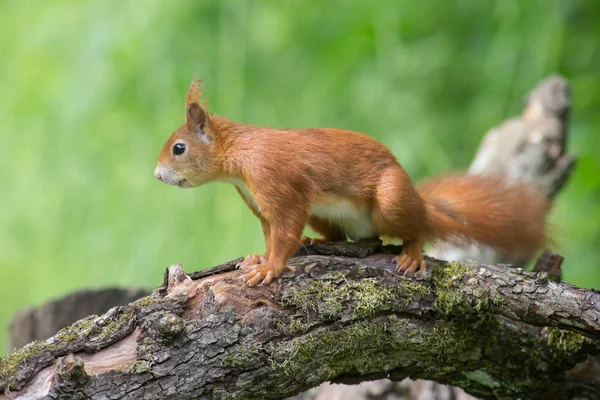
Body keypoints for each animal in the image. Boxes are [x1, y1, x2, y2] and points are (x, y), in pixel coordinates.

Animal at [154, 79, 548, 286]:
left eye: (178, 148)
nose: (157, 175)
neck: (239, 155)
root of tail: (420, 201)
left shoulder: (276, 182)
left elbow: (285, 229)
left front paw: (269, 267)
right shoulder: (259, 203)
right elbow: (271, 233)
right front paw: (259, 257)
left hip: (392, 200)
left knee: (417, 227)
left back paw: (412, 253)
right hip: (324, 213)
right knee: (337, 235)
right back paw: (315, 241)